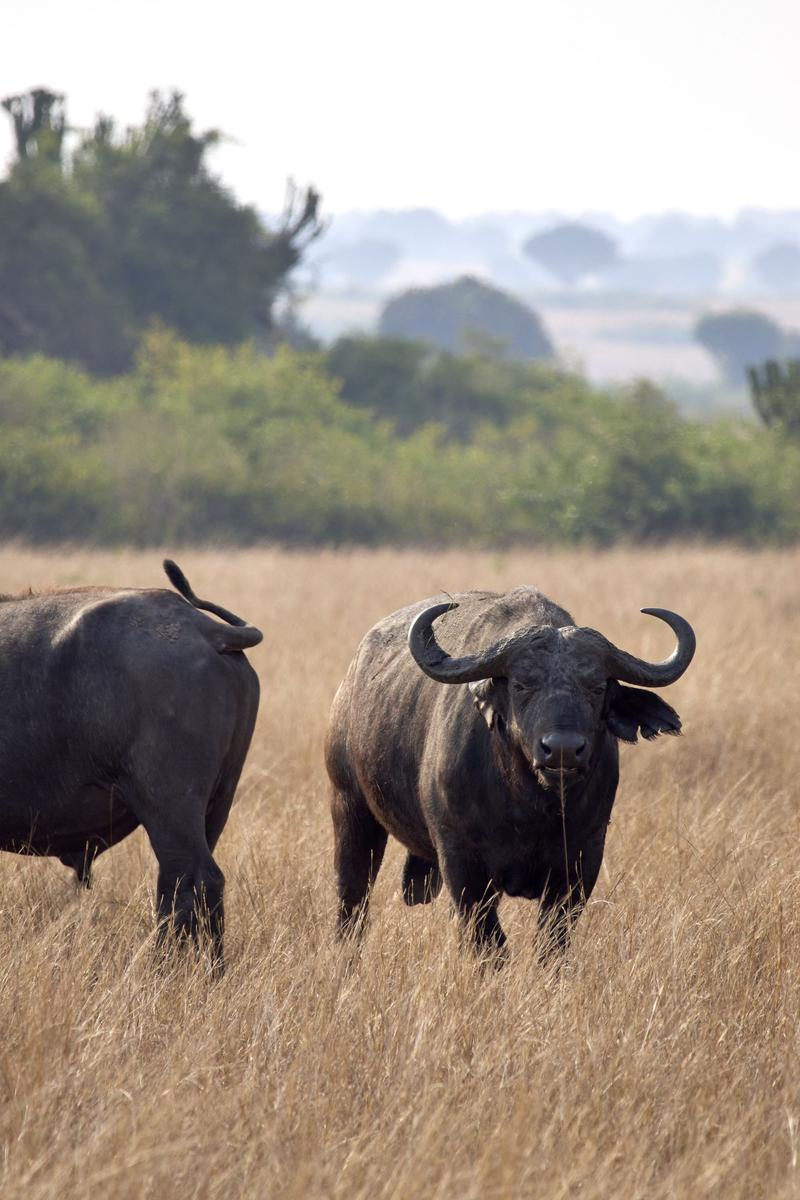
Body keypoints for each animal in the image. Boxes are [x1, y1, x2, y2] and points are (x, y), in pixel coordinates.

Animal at [0, 564, 260, 974]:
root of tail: (207, 631)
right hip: (218, 802)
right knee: (180, 885)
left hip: (168, 803)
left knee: (193, 880)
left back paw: (171, 970)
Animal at [326, 585, 695, 960]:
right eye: (521, 685)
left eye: (597, 687)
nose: (562, 749)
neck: (530, 805)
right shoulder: (463, 863)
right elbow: (490, 943)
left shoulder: (581, 862)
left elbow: (552, 943)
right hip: (350, 808)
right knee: (352, 898)